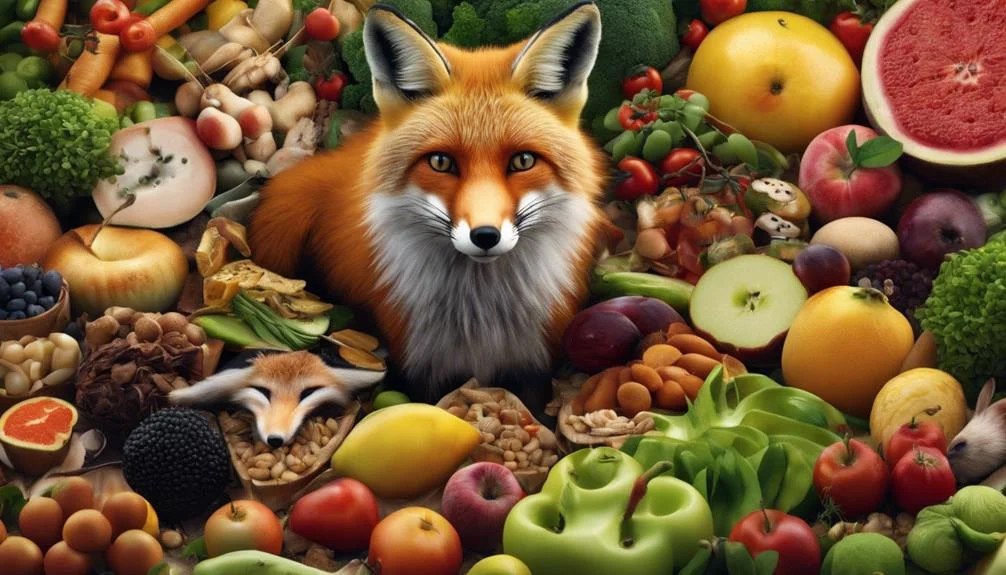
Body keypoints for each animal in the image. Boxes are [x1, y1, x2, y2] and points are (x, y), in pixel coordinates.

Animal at [247, 2, 609, 404]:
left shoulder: (534, 365)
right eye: (440, 162)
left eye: (523, 161)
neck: (480, 318)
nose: (486, 236)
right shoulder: (419, 365)